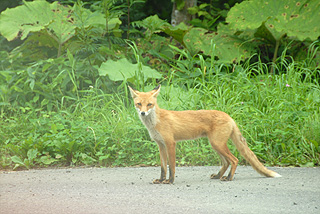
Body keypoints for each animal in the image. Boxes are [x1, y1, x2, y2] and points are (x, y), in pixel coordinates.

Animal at [127, 85, 280, 184]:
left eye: (150, 104)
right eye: (139, 104)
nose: (143, 113)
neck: (155, 123)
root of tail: (229, 116)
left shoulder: (171, 143)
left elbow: (172, 166)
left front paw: (170, 181)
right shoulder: (161, 145)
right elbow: (163, 167)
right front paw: (161, 180)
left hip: (217, 144)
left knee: (234, 160)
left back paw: (228, 178)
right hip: (215, 145)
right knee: (226, 162)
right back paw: (218, 176)